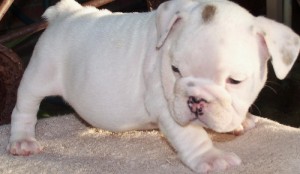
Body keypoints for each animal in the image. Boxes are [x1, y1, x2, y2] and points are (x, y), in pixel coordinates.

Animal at [5, 0, 298, 173]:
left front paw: (240, 121)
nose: (196, 100)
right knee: (24, 108)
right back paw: (22, 141)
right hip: (39, 74)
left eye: (235, 80)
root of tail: (66, 13)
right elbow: (191, 135)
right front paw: (212, 158)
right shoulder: (166, 105)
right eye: (175, 69)